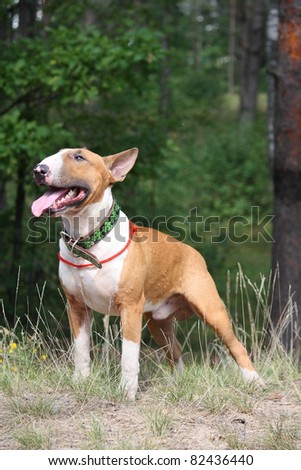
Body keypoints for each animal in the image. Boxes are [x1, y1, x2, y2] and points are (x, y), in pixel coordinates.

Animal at [31, 148, 262, 400]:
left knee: (236, 345)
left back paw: (255, 382)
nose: (39, 170)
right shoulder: (76, 306)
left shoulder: (130, 307)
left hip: (211, 310)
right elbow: (81, 349)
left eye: (79, 157)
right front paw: (80, 382)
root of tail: (194, 252)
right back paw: (176, 384)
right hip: (158, 322)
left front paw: (127, 392)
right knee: (175, 350)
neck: (87, 241)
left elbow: (129, 355)